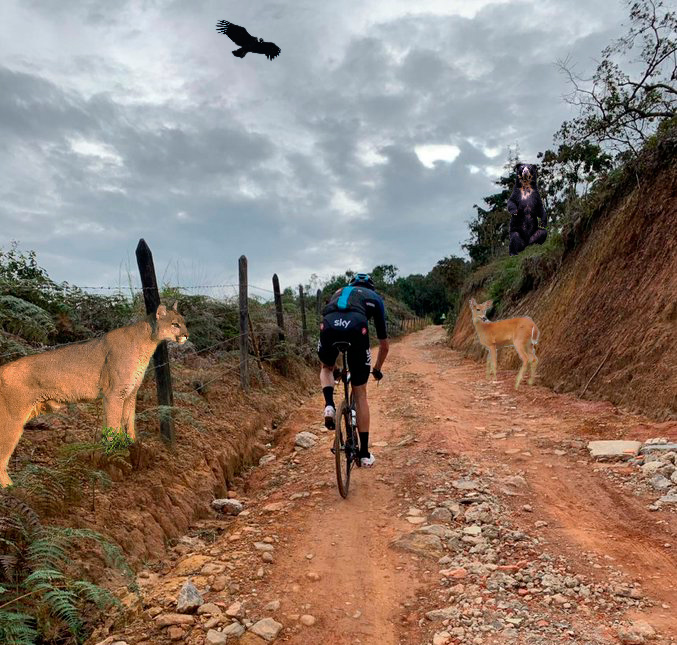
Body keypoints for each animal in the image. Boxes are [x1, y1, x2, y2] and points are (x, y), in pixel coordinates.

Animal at [0, 304, 187, 486]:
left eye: (184, 323)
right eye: (175, 324)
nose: (186, 335)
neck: (148, 341)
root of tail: (3, 368)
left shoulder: (130, 394)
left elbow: (128, 420)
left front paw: (131, 442)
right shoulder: (114, 394)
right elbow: (113, 424)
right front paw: (114, 448)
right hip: (12, 420)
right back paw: (12, 488)